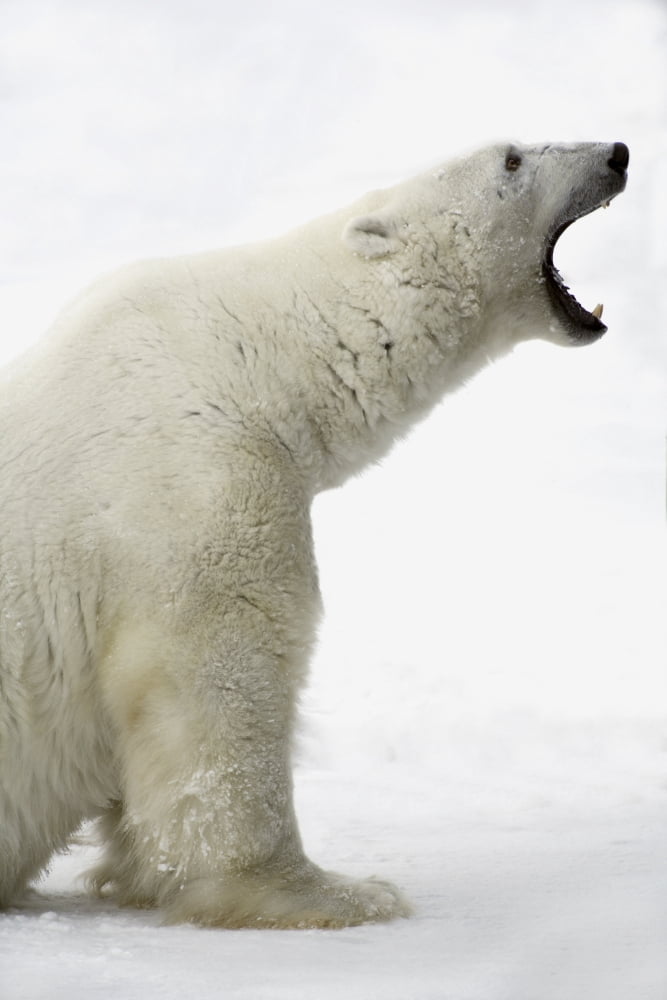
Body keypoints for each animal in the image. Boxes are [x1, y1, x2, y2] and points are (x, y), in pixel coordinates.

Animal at [0, 140, 628, 927]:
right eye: (511, 159)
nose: (617, 154)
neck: (256, 358)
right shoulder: (196, 483)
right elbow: (219, 678)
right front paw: (332, 891)